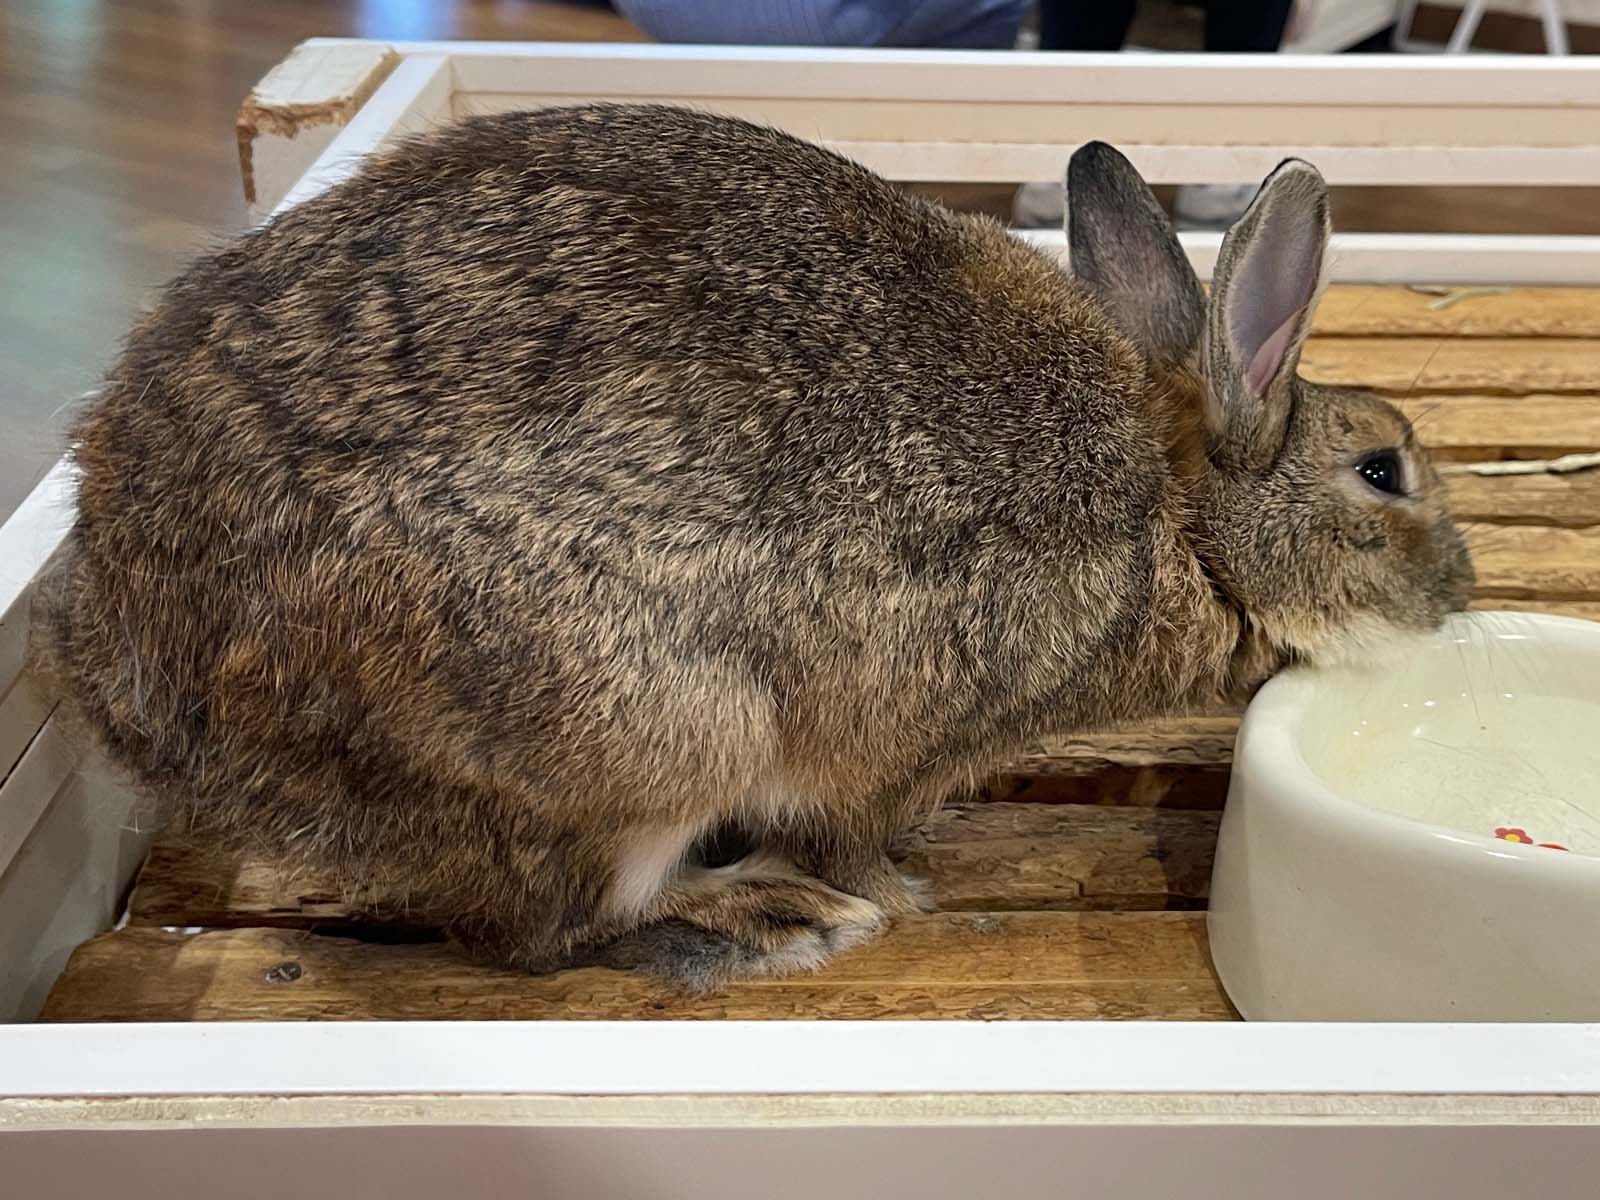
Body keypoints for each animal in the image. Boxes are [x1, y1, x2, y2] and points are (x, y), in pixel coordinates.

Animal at [37, 105, 1465, 985]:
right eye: (1381, 469)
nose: (1460, 595)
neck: (1179, 517)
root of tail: (139, 677)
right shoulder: (895, 741)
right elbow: (854, 823)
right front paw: (887, 888)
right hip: (652, 729)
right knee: (557, 924)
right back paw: (767, 916)